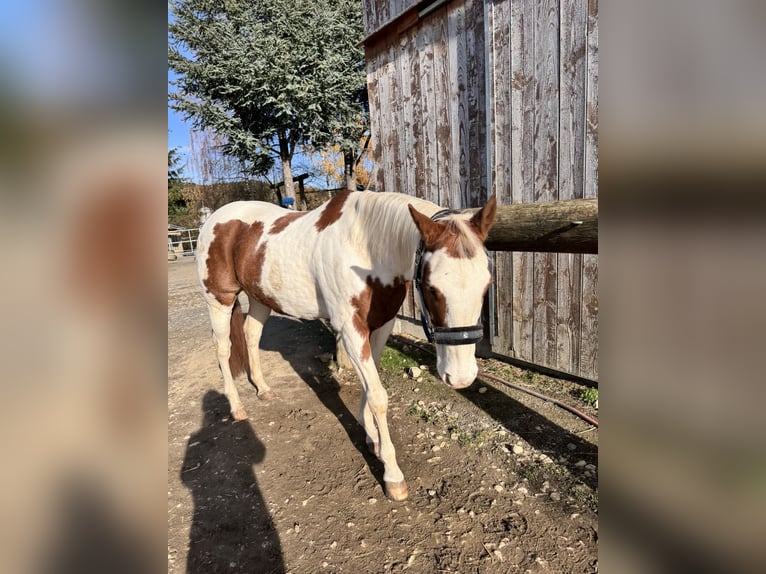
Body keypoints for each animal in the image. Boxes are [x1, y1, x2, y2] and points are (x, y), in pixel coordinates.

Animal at [195, 190, 497, 501]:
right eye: (431, 288)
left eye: (486, 284)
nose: (460, 377)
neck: (366, 248)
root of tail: (215, 219)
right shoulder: (351, 329)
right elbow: (378, 396)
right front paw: (393, 476)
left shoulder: (381, 325)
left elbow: (370, 385)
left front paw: (371, 439)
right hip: (219, 298)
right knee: (223, 349)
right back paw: (236, 406)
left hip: (259, 298)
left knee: (251, 336)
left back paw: (263, 389)